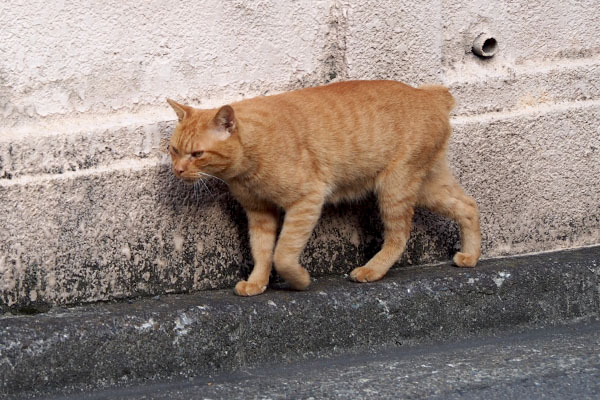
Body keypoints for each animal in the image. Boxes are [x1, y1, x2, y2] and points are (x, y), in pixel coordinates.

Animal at [166, 79, 480, 296]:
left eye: (197, 154)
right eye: (173, 150)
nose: (178, 170)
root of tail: (430, 94)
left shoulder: (307, 200)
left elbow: (283, 254)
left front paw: (300, 280)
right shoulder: (259, 213)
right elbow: (262, 251)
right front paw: (257, 283)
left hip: (395, 187)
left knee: (399, 235)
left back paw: (372, 269)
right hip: (427, 186)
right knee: (469, 205)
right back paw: (471, 256)